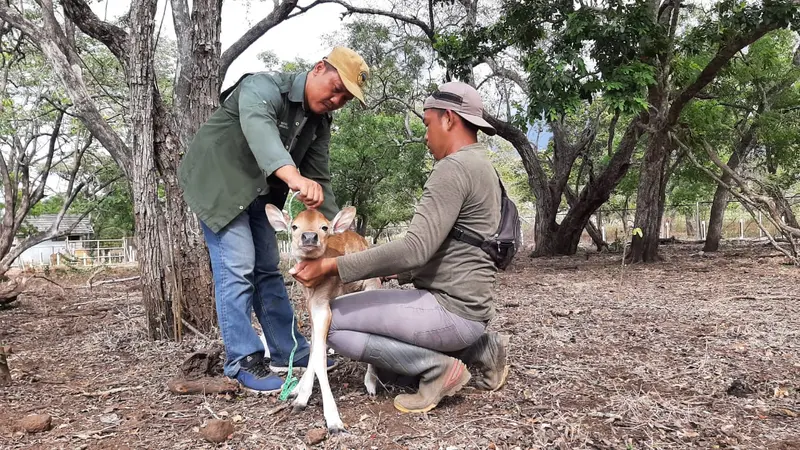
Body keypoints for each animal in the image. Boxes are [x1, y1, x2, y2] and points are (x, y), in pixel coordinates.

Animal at [266, 206, 382, 434]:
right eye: (294, 226)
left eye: (324, 227)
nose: (309, 237)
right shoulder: (312, 304)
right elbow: (314, 350)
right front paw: (299, 395)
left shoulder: (322, 305)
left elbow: (319, 359)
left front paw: (333, 421)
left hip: (373, 284)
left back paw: (371, 383)